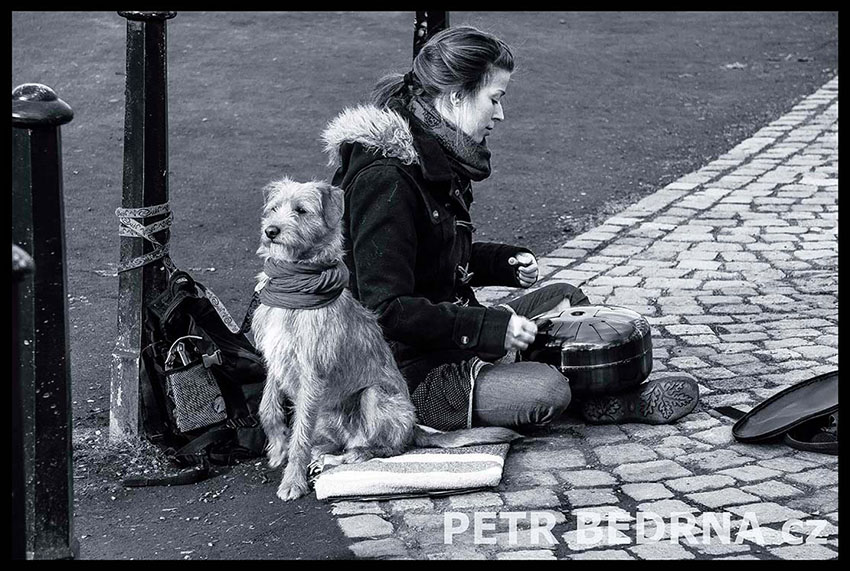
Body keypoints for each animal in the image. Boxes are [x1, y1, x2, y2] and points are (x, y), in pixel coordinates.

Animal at [248, 178, 520, 500]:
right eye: (274, 208)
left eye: (301, 210)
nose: (271, 231)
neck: (294, 286)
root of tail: (415, 425)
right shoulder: (275, 358)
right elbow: (267, 408)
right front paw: (279, 448)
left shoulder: (312, 370)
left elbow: (299, 435)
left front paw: (292, 480)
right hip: (324, 411)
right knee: (334, 441)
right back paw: (324, 452)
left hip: (373, 395)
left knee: (382, 448)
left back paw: (348, 456)